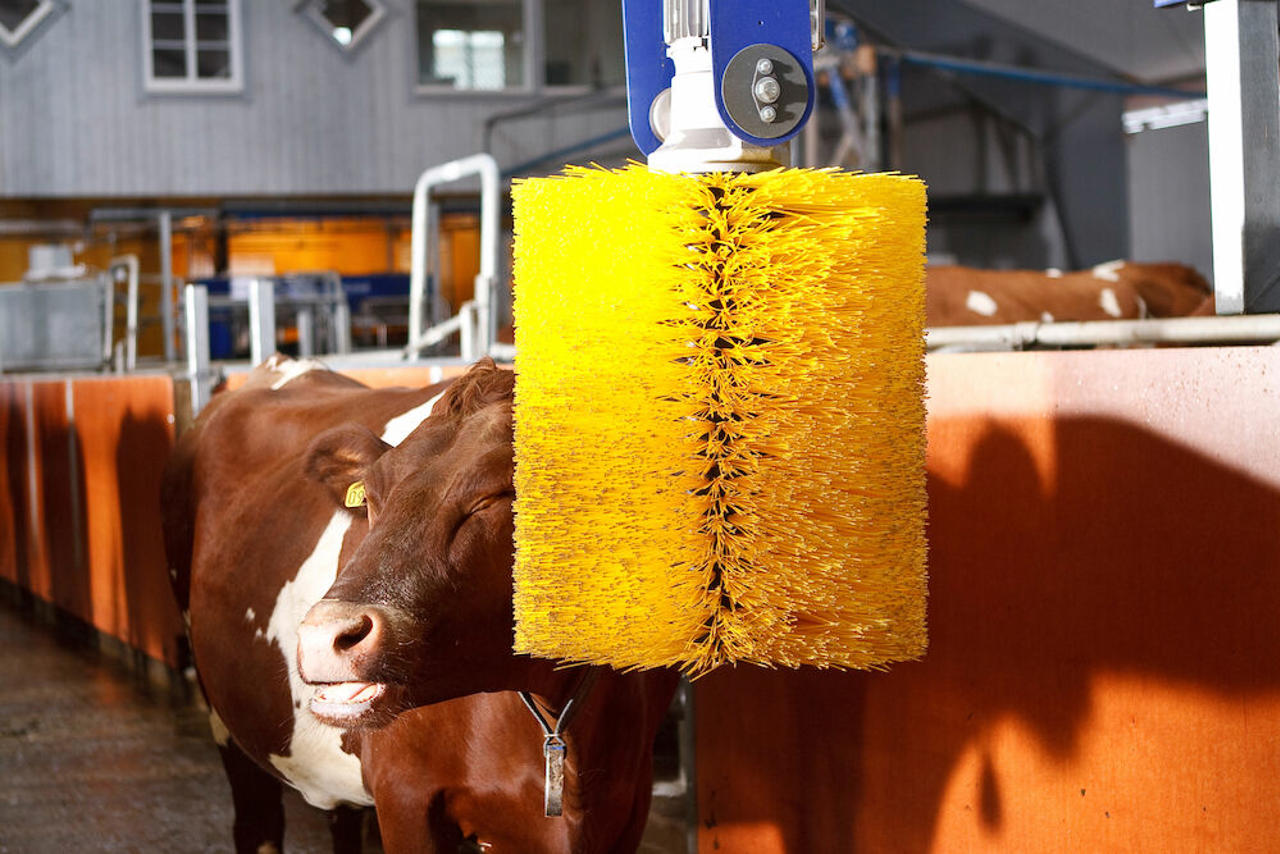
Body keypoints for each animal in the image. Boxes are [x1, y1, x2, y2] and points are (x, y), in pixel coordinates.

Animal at [161, 355, 679, 853]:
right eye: (371, 497)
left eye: (498, 494)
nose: (324, 635)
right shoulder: (405, 796)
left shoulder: (625, 807)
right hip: (227, 722)